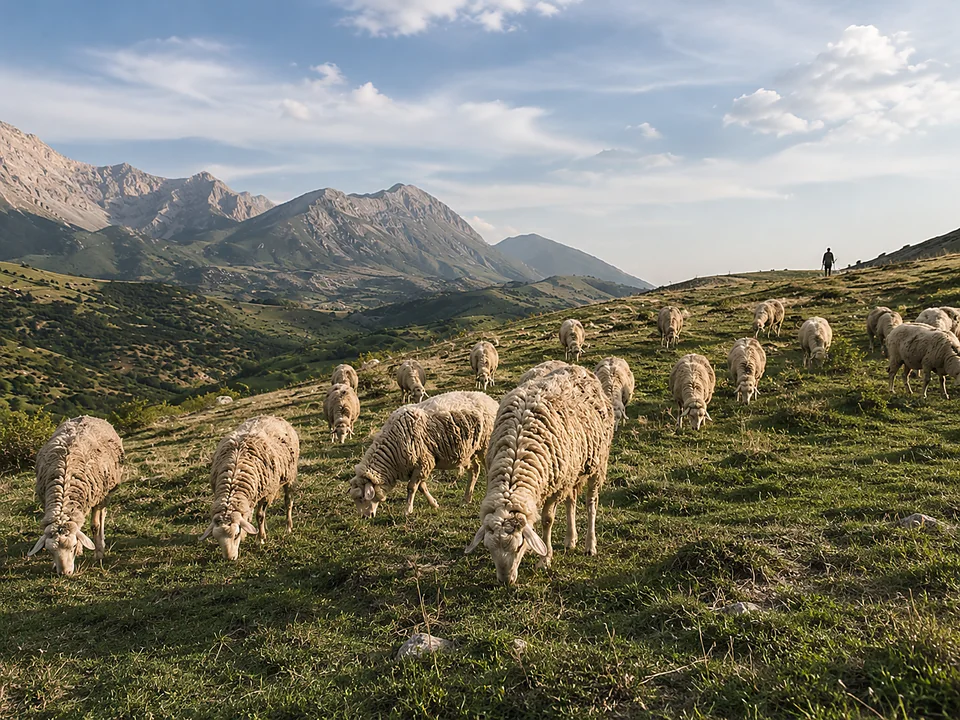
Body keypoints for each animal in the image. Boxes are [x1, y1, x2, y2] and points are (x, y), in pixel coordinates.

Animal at [28, 416, 124, 575]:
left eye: (71, 547)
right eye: (50, 551)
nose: (64, 573)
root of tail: (87, 416)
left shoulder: (97, 497)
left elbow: (95, 525)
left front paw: (98, 553)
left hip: (106, 492)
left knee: (102, 516)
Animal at [200, 416, 299, 561]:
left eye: (236, 534)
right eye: (216, 538)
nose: (229, 558)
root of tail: (272, 416)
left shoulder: (266, 493)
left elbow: (260, 515)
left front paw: (260, 539)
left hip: (289, 476)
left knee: (288, 502)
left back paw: (288, 527)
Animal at [349, 391, 499, 518]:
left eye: (362, 497)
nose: (365, 517)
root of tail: (489, 399)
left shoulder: (423, 462)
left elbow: (411, 488)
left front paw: (407, 510)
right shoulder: (418, 467)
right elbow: (422, 487)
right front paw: (434, 504)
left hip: (485, 446)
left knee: (488, 470)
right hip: (468, 452)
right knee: (474, 470)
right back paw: (466, 499)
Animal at [464, 365, 614, 585]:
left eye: (519, 545)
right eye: (488, 548)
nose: (505, 581)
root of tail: (577, 367)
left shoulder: (554, 487)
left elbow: (547, 520)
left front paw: (545, 559)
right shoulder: (560, 479)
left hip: (596, 463)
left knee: (591, 503)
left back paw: (590, 545)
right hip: (571, 470)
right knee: (571, 500)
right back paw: (570, 539)